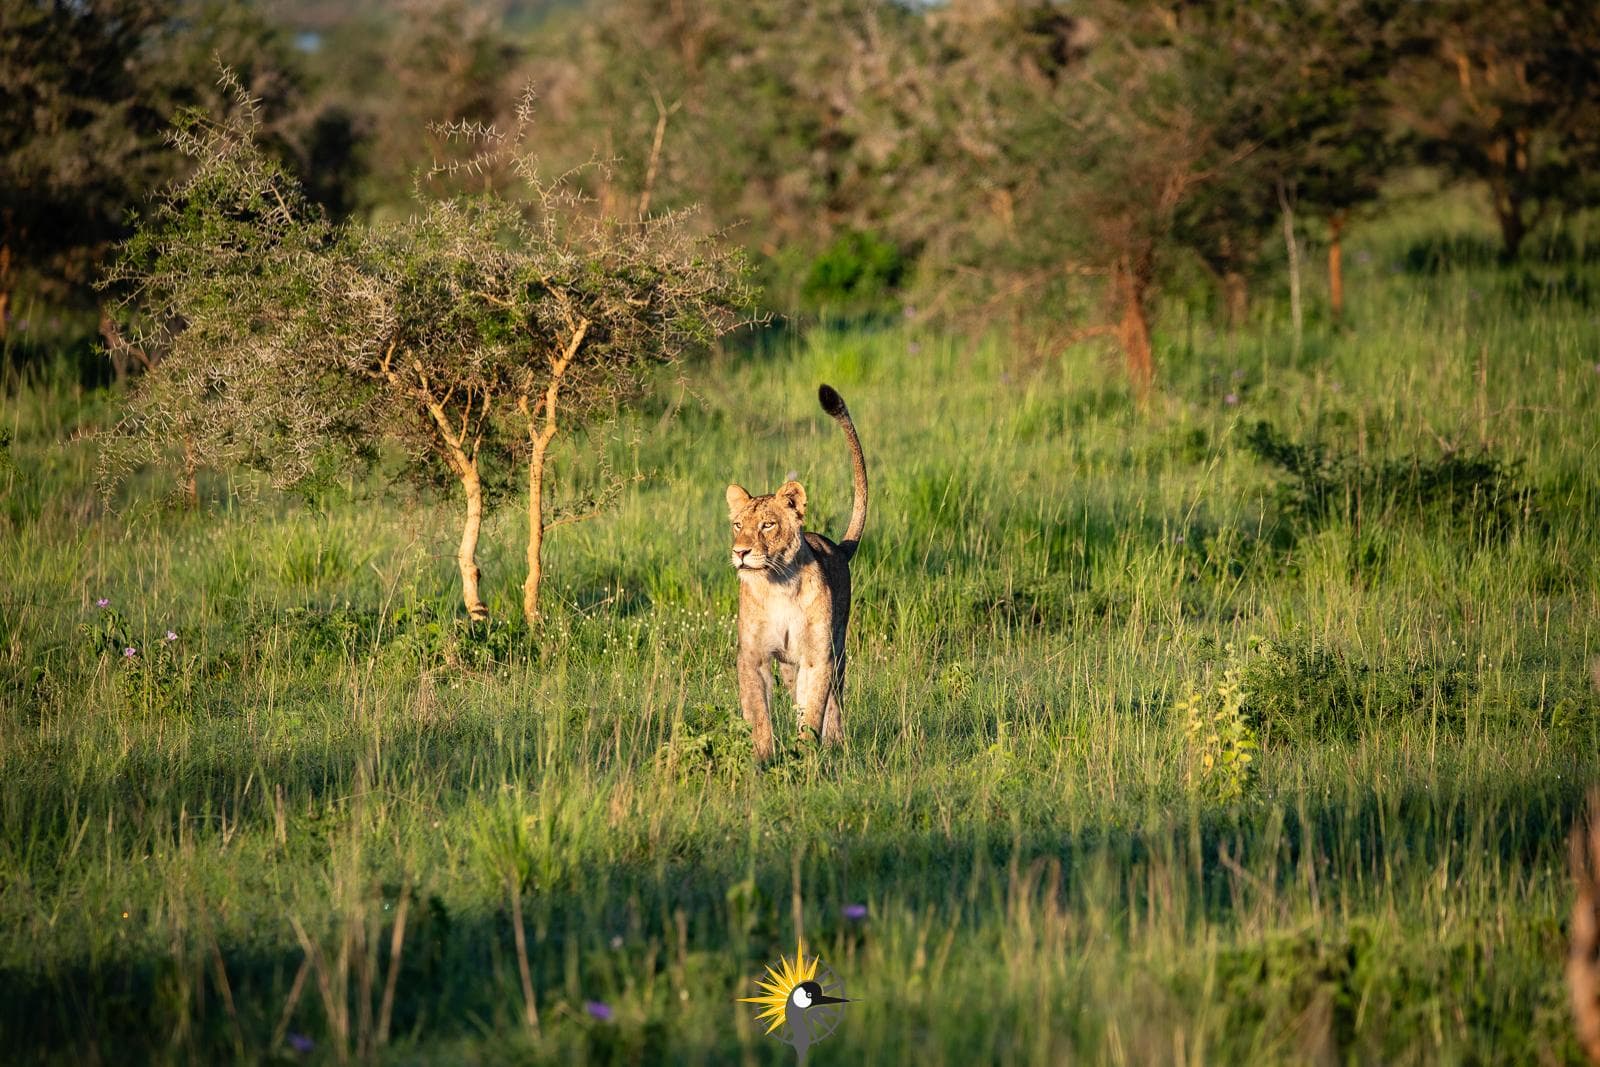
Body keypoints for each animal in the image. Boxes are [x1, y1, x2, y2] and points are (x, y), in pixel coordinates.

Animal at [725, 384, 868, 760]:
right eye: (738, 525)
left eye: (767, 525)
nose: (740, 553)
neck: (778, 585)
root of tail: (836, 546)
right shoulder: (754, 657)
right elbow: (758, 713)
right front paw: (763, 758)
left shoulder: (818, 656)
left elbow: (815, 708)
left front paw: (806, 754)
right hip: (789, 665)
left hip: (836, 649)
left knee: (834, 700)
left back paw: (836, 743)